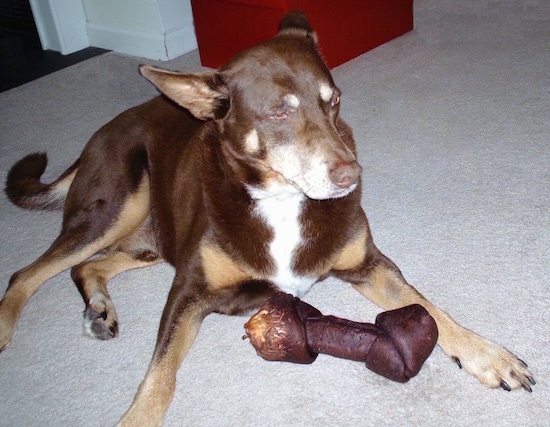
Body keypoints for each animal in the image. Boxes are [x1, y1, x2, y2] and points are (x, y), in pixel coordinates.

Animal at [0, 11, 536, 426]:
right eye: (279, 113)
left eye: (333, 100)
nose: (351, 174)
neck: (282, 200)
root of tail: (94, 139)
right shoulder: (189, 291)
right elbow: (160, 377)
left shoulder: (369, 264)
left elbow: (428, 307)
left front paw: (488, 355)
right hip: (116, 205)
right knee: (28, 273)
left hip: (149, 236)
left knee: (88, 265)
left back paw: (100, 309)